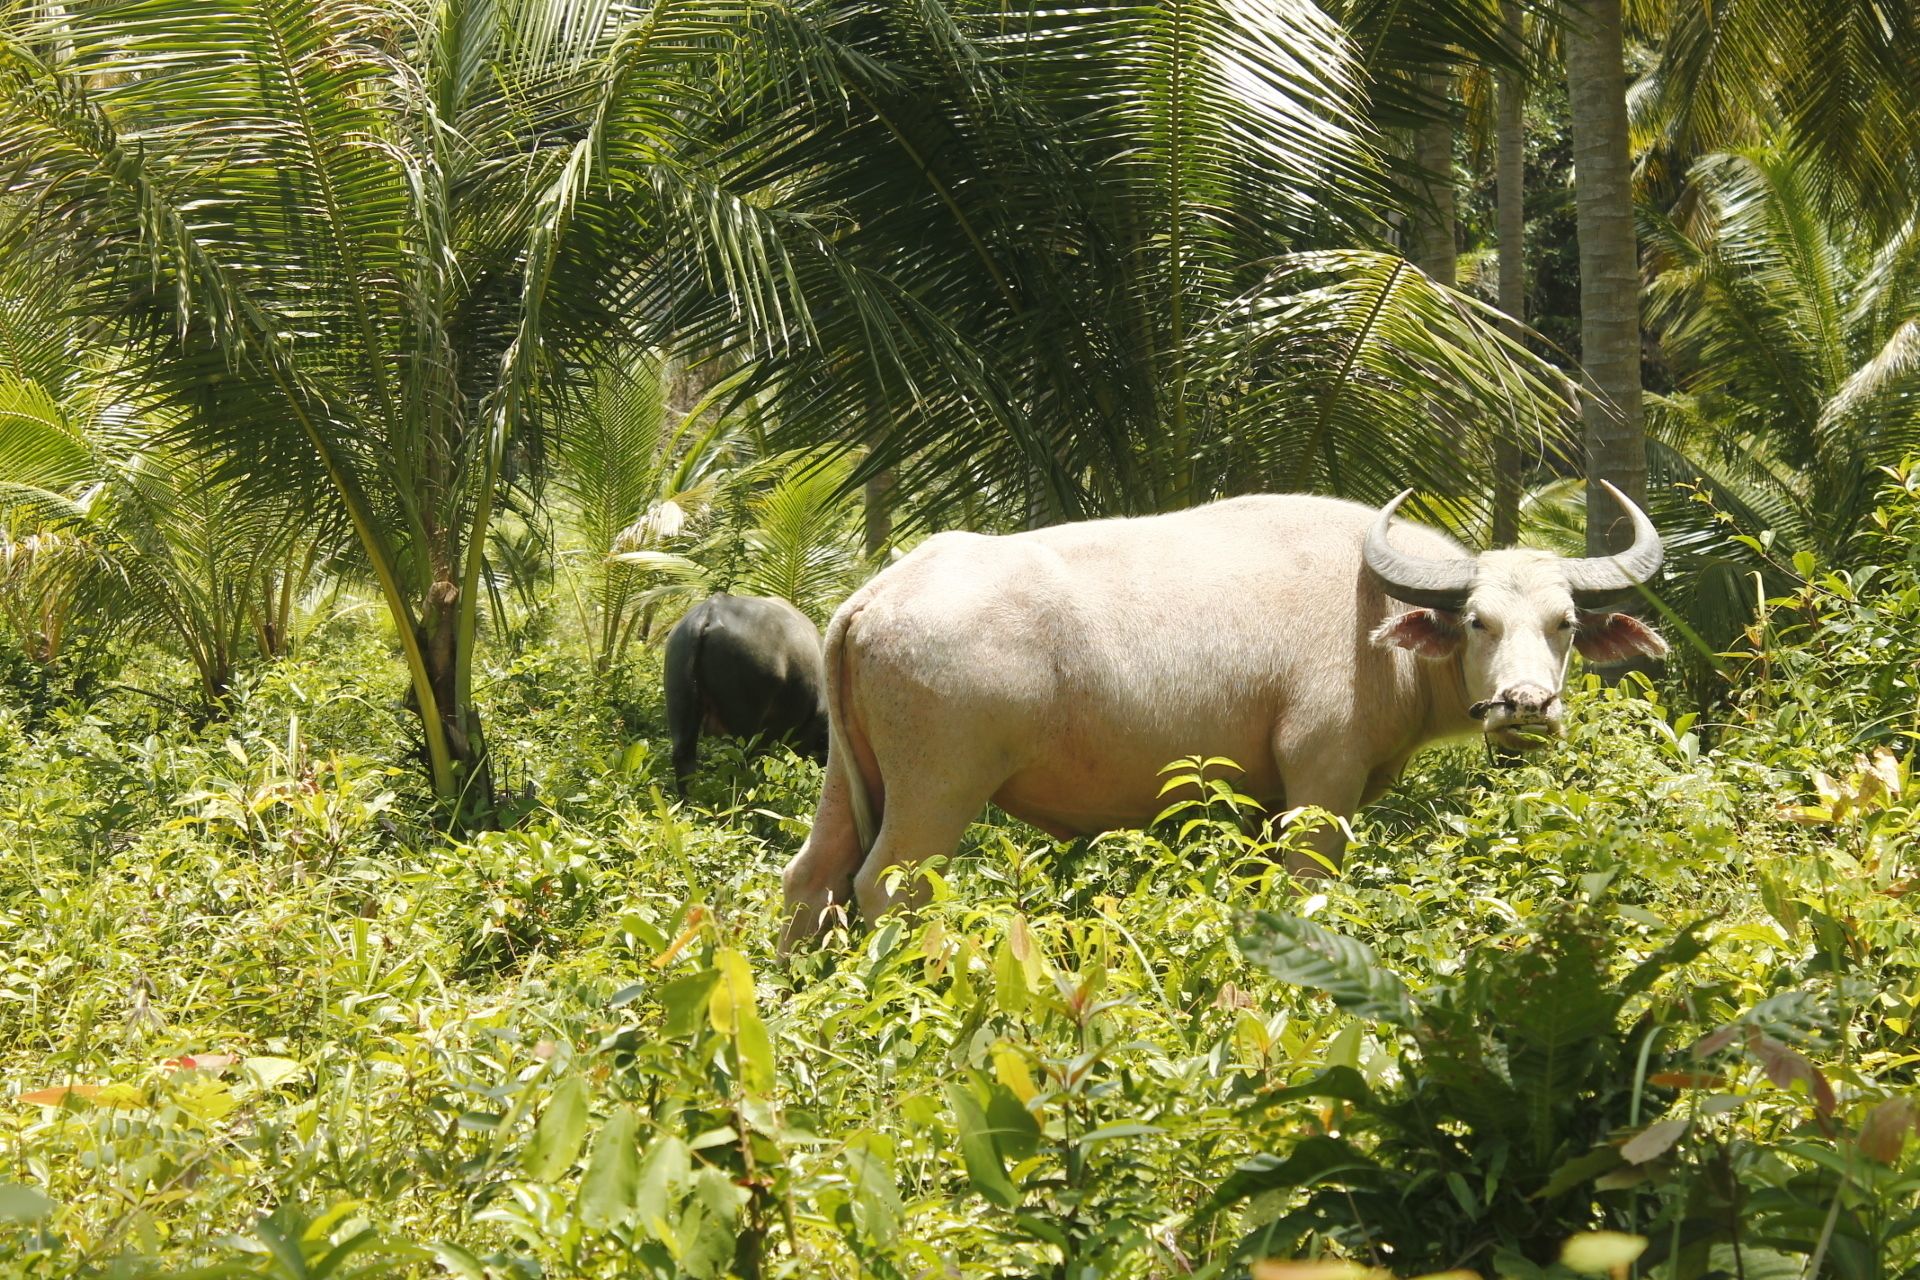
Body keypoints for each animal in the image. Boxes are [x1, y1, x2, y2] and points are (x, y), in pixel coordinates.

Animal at [779, 483, 1666, 947]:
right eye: (1478, 621)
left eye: (1566, 623)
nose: (1528, 706)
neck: (1378, 627)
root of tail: (877, 594)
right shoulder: (1321, 782)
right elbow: (1309, 889)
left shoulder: (1256, 804)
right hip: (938, 791)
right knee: (886, 888)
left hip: (846, 780)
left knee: (811, 879)